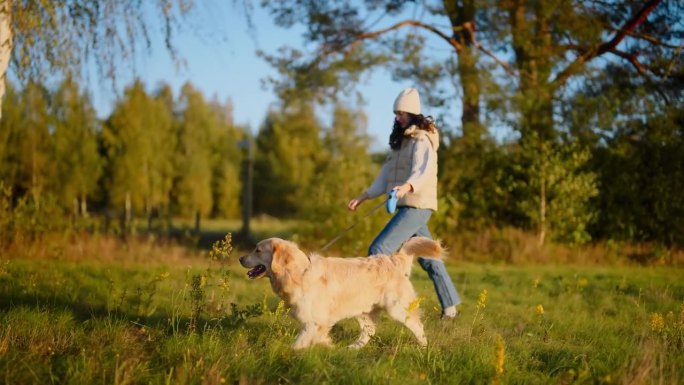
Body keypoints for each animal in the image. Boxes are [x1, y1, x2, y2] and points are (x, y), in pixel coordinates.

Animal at [239, 234, 444, 348]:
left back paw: (423, 348)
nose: (240, 258)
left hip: (397, 308)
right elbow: (318, 338)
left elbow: (299, 344)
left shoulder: (314, 321)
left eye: (257, 250)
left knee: (418, 326)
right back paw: (352, 348)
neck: (298, 273)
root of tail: (393, 260)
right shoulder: (314, 322)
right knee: (369, 332)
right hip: (362, 311)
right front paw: (328, 346)